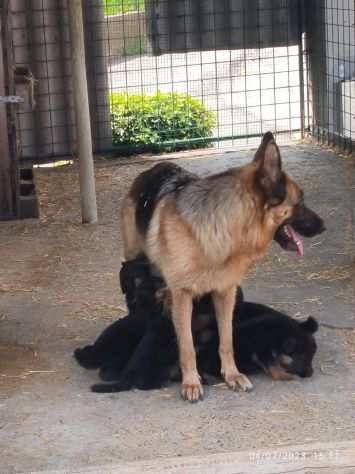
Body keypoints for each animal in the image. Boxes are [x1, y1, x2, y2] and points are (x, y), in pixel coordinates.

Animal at [120, 131, 326, 402]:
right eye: (300, 200)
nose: (324, 226)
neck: (220, 230)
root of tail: (156, 166)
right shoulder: (183, 295)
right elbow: (187, 345)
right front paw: (191, 382)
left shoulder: (226, 292)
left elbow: (226, 339)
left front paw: (232, 375)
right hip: (134, 263)